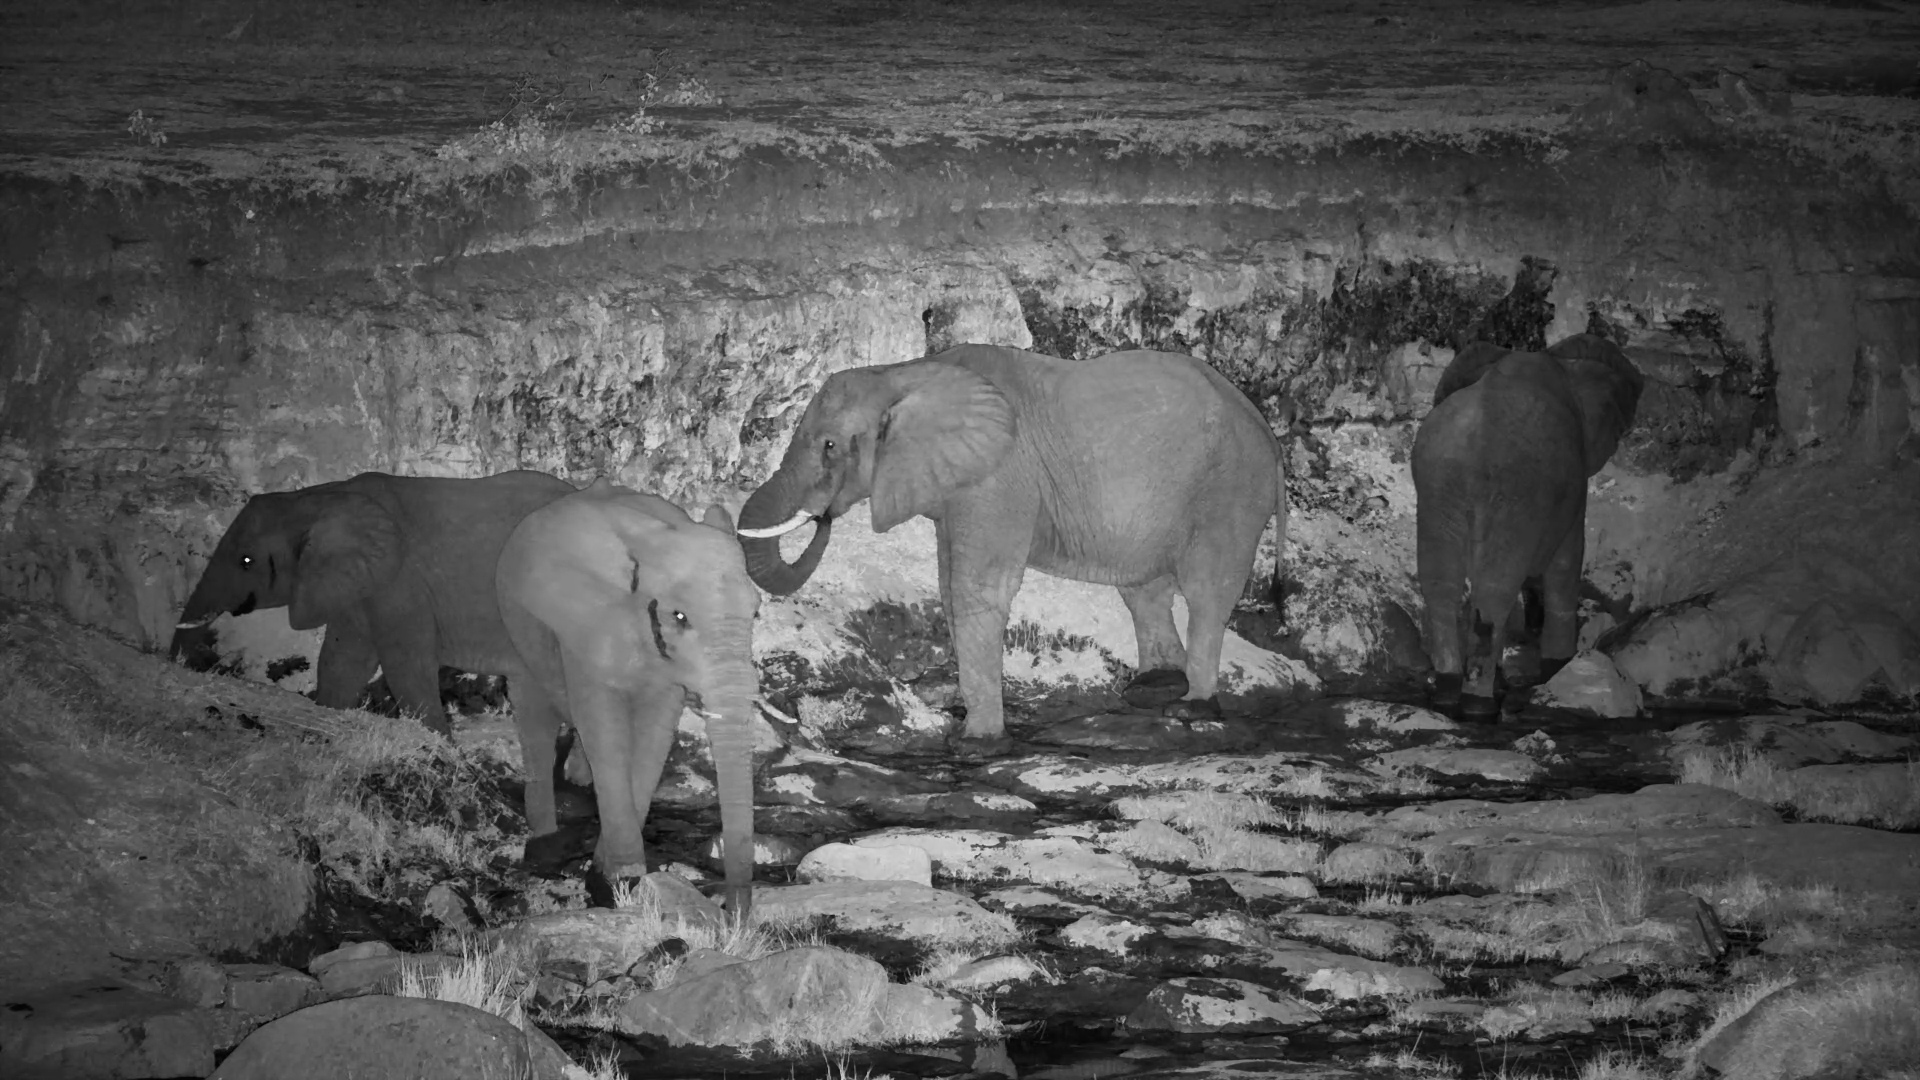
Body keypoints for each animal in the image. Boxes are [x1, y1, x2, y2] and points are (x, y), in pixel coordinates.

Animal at [171, 470, 576, 736]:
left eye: (246, 561)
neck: (321, 499)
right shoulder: (358, 584)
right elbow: (343, 658)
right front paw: (328, 713)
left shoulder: (400, 582)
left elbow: (406, 662)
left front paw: (440, 744)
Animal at [496, 478, 761, 914]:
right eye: (679, 617)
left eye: (756, 613)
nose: (735, 912)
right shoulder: (583, 630)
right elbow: (606, 732)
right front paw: (620, 881)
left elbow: (654, 738)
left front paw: (611, 876)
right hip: (517, 625)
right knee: (535, 718)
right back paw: (545, 843)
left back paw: (578, 782)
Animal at [736, 343, 1286, 741]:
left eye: (830, 446)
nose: (823, 518)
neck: (905, 373)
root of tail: (1266, 429)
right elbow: (949, 586)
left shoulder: (999, 479)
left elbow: (977, 591)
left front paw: (977, 741)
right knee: (1144, 590)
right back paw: (1151, 690)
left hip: (1231, 488)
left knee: (1206, 589)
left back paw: (1191, 705)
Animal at [1411, 333, 1644, 719]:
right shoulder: (1570, 486)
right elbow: (1565, 562)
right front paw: (1559, 665)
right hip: (1512, 495)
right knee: (1493, 592)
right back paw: (1478, 704)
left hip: (1438, 487)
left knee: (1441, 585)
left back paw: (1447, 692)